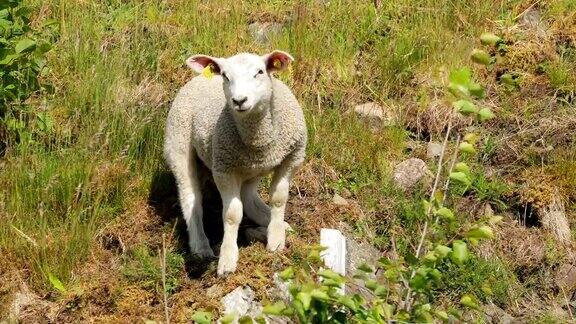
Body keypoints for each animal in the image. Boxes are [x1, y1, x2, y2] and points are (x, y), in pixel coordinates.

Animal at [163, 50, 306, 276]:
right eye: (225, 76)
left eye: (260, 72)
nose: (239, 100)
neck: (259, 139)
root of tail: (197, 78)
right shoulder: (224, 170)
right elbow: (231, 215)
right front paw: (228, 259)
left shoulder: (292, 158)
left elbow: (278, 199)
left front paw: (276, 239)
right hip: (178, 145)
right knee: (190, 198)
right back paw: (200, 245)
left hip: (250, 169)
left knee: (249, 198)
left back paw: (277, 223)